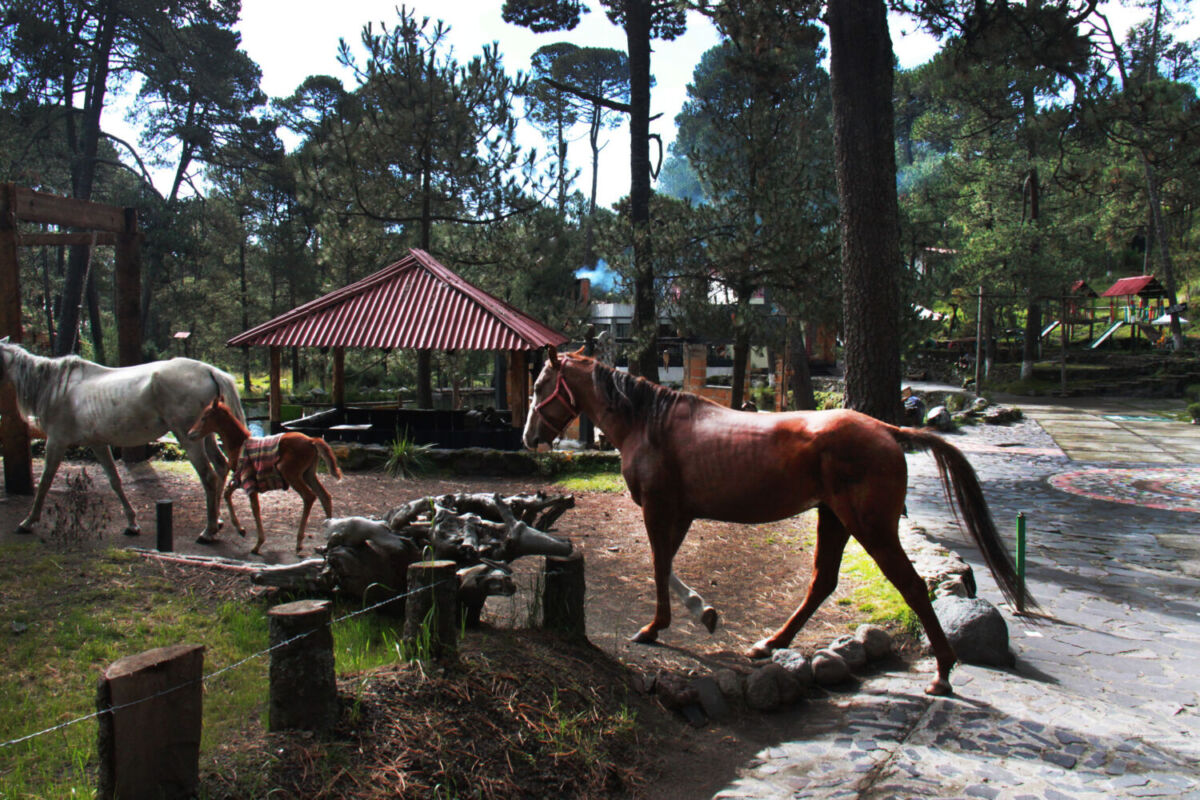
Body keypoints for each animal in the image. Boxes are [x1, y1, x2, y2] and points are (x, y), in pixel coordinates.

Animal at [0, 337, 244, 540]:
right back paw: (217, 520)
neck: (56, 388)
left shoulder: (56, 442)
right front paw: (132, 523)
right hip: (206, 435)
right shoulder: (97, 444)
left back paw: (208, 531)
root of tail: (208, 370)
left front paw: (28, 522)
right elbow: (114, 481)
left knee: (208, 476)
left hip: (188, 438)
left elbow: (45, 481)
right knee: (221, 466)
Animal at [186, 394, 341, 555]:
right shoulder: (239, 479)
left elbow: (254, 508)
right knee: (325, 496)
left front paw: (257, 544)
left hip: (290, 473)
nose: (190, 434)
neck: (238, 444)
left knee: (309, 497)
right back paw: (327, 542)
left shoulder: (248, 479)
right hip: (308, 474)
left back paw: (299, 543)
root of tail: (311, 440)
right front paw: (241, 530)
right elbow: (227, 494)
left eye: (204, 417)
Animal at [523, 347, 1035, 696]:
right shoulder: (679, 513)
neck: (651, 424)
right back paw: (769, 643)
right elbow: (666, 565)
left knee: (908, 586)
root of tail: (890, 431)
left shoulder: (659, 508)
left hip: (870, 527)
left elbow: (657, 564)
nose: (528, 436)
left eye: (540, 386)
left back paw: (943, 673)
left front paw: (655, 628)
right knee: (822, 582)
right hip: (833, 519)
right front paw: (702, 611)